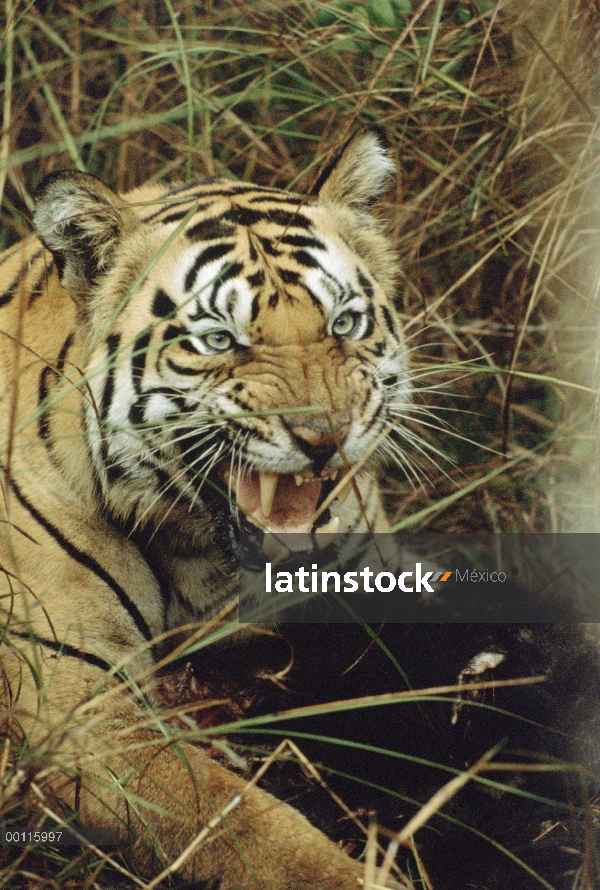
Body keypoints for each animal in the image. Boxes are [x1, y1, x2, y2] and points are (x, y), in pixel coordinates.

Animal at [0, 134, 408, 888]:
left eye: (344, 324)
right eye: (220, 340)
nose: (326, 436)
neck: (199, 548)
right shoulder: (79, 704)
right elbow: (249, 827)